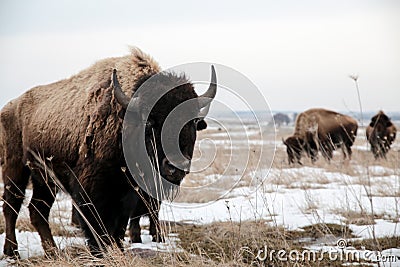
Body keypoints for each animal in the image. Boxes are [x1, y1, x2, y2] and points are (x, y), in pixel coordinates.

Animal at [0, 48, 217, 258]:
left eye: (192, 122)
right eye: (150, 122)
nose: (175, 167)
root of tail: (9, 107)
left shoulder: (128, 193)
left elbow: (120, 225)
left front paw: (118, 248)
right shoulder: (92, 188)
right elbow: (97, 222)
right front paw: (99, 251)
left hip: (45, 180)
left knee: (38, 210)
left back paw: (52, 251)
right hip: (16, 170)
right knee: (12, 205)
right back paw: (12, 251)